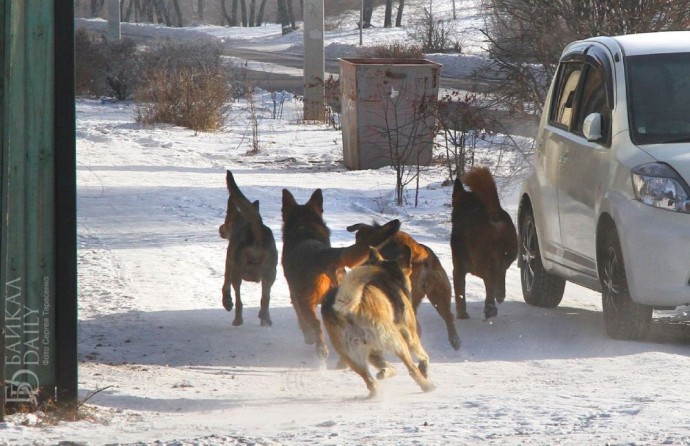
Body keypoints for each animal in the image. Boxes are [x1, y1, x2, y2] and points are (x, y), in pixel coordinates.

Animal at [218, 169, 276, 326]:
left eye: (226, 221)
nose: (220, 229)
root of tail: (256, 232)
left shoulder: (229, 265)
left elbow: (225, 287)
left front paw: (227, 303)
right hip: (270, 273)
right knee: (265, 300)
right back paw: (265, 319)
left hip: (237, 272)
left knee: (239, 301)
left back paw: (238, 320)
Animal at [280, 187, 398, 358]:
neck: (305, 227)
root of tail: (323, 255)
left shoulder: (295, 296)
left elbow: (303, 322)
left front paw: (308, 337)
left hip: (306, 302)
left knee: (316, 325)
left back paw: (321, 349)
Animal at [318, 247, 432, 398]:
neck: (389, 277)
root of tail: (348, 309)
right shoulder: (411, 336)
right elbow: (423, 355)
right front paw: (424, 368)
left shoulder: (373, 353)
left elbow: (387, 366)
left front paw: (385, 372)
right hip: (397, 341)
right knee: (412, 369)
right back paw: (427, 386)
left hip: (352, 356)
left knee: (369, 381)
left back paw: (376, 392)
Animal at [452, 167, 516, 320]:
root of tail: (495, 214)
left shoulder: (458, 269)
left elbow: (460, 295)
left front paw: (462, 315)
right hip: (507, 256)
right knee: (499, 275)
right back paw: (499, 297)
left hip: (482, 259)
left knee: (490, 280)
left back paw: (490, 308)